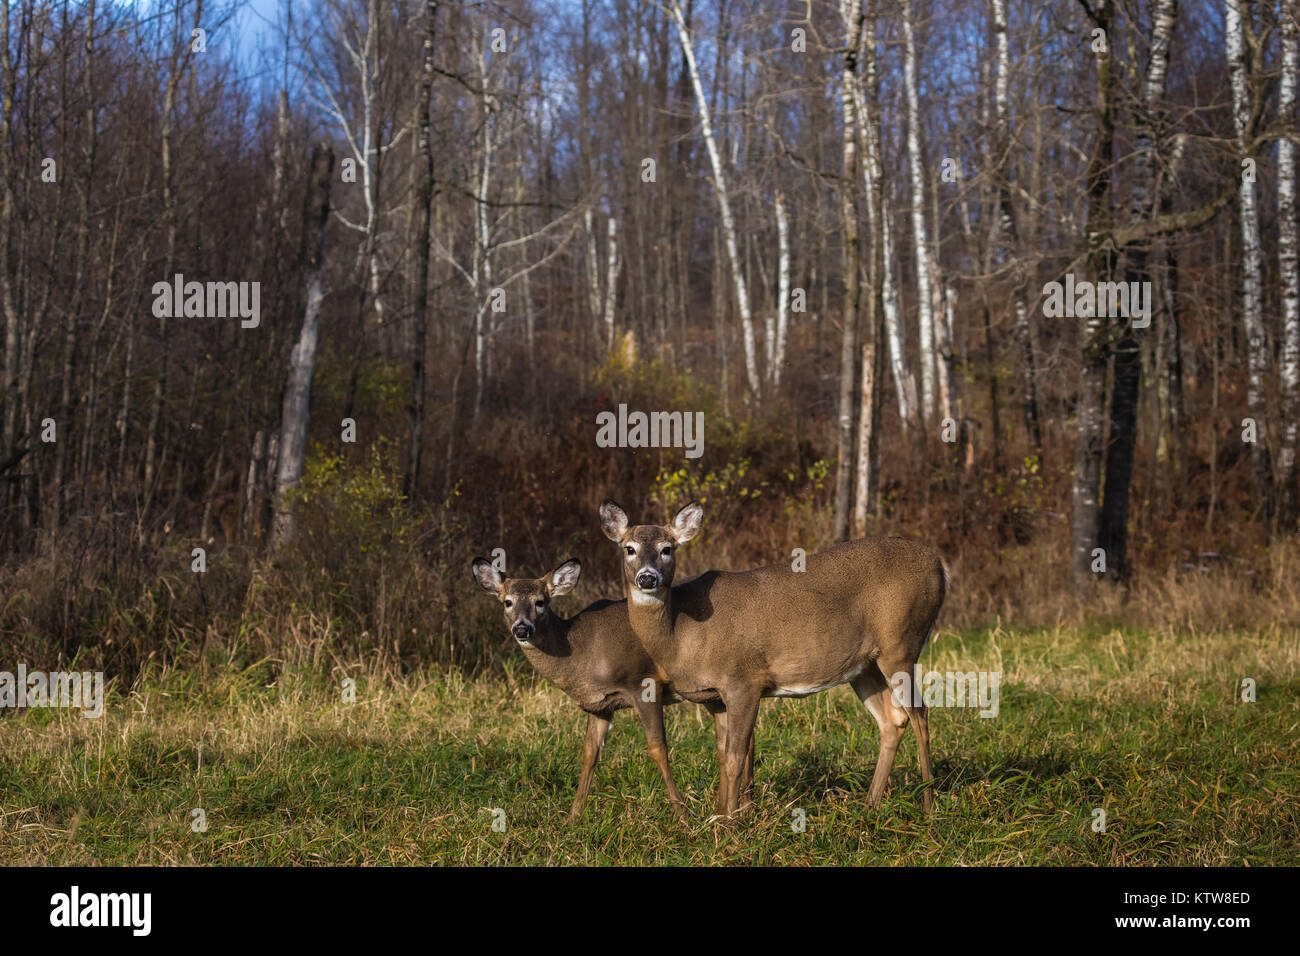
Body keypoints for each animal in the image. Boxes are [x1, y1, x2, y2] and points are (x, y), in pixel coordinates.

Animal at [467, 561, 691, 822]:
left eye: (540, 601)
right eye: (507, 602)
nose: (522, 629)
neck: (582, 652)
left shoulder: (644, 682)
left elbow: (658, 748)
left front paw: (682, 813)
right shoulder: (600, 704)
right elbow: (589, 753)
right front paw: (573, 817)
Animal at [603, 496, 951, 816]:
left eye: (667, 549)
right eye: (629, 548)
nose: (647, 578)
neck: (682, 633)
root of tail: (940, 564)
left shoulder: (743, 680)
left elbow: (735, 757)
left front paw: (728, 825)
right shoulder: (715, 696)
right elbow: (723, 756)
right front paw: (720, 814)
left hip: (901, 643)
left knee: (920, 713)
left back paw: (928, 805)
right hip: (865, 664)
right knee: (893, 719)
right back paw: (870, 805)